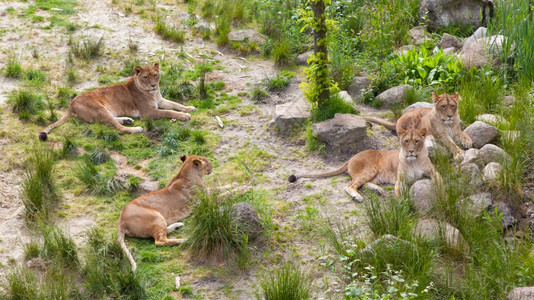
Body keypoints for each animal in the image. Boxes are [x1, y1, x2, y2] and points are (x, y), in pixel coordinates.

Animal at [38, 63, 196, 141]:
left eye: (155, 75)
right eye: (145, 77)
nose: (153, 85)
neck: (153, 93)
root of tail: (71, 104)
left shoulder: (160, 101)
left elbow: (175, 104)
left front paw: (189, 108)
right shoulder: (148, 113)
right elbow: (169, 112)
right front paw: (184, 116)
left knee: (113, 121)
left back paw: (126, 119)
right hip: (99, 108)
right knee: (118, 128)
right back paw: (135, 128)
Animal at [288, 127, 436, 202]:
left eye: (416, 141)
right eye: (406, 141)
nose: (410, 151)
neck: (414, 160)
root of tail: (352, 157)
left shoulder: (433, 172)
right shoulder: (401, 180)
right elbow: (400, 193)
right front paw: (403, 204)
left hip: (375, 176)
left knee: (364, 184)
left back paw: (378, 190)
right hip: (369, 170)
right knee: (350, 185)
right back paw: (357, 197)